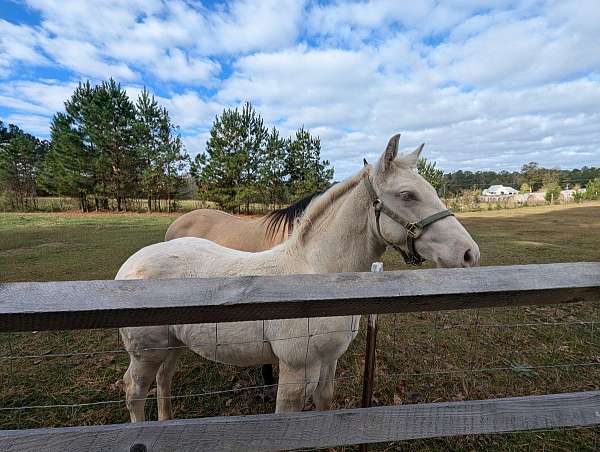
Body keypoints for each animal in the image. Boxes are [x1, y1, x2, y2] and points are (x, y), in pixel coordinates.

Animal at [117, 132, 480, 422]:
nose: (468, 254)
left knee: (163, 381)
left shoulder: (328, 363)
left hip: (172, 345)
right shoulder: (296, 370)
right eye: (407, 195)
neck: (318, 270)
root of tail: (131, 265)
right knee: (134, 390)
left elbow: (323, 404)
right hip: (146, 353)